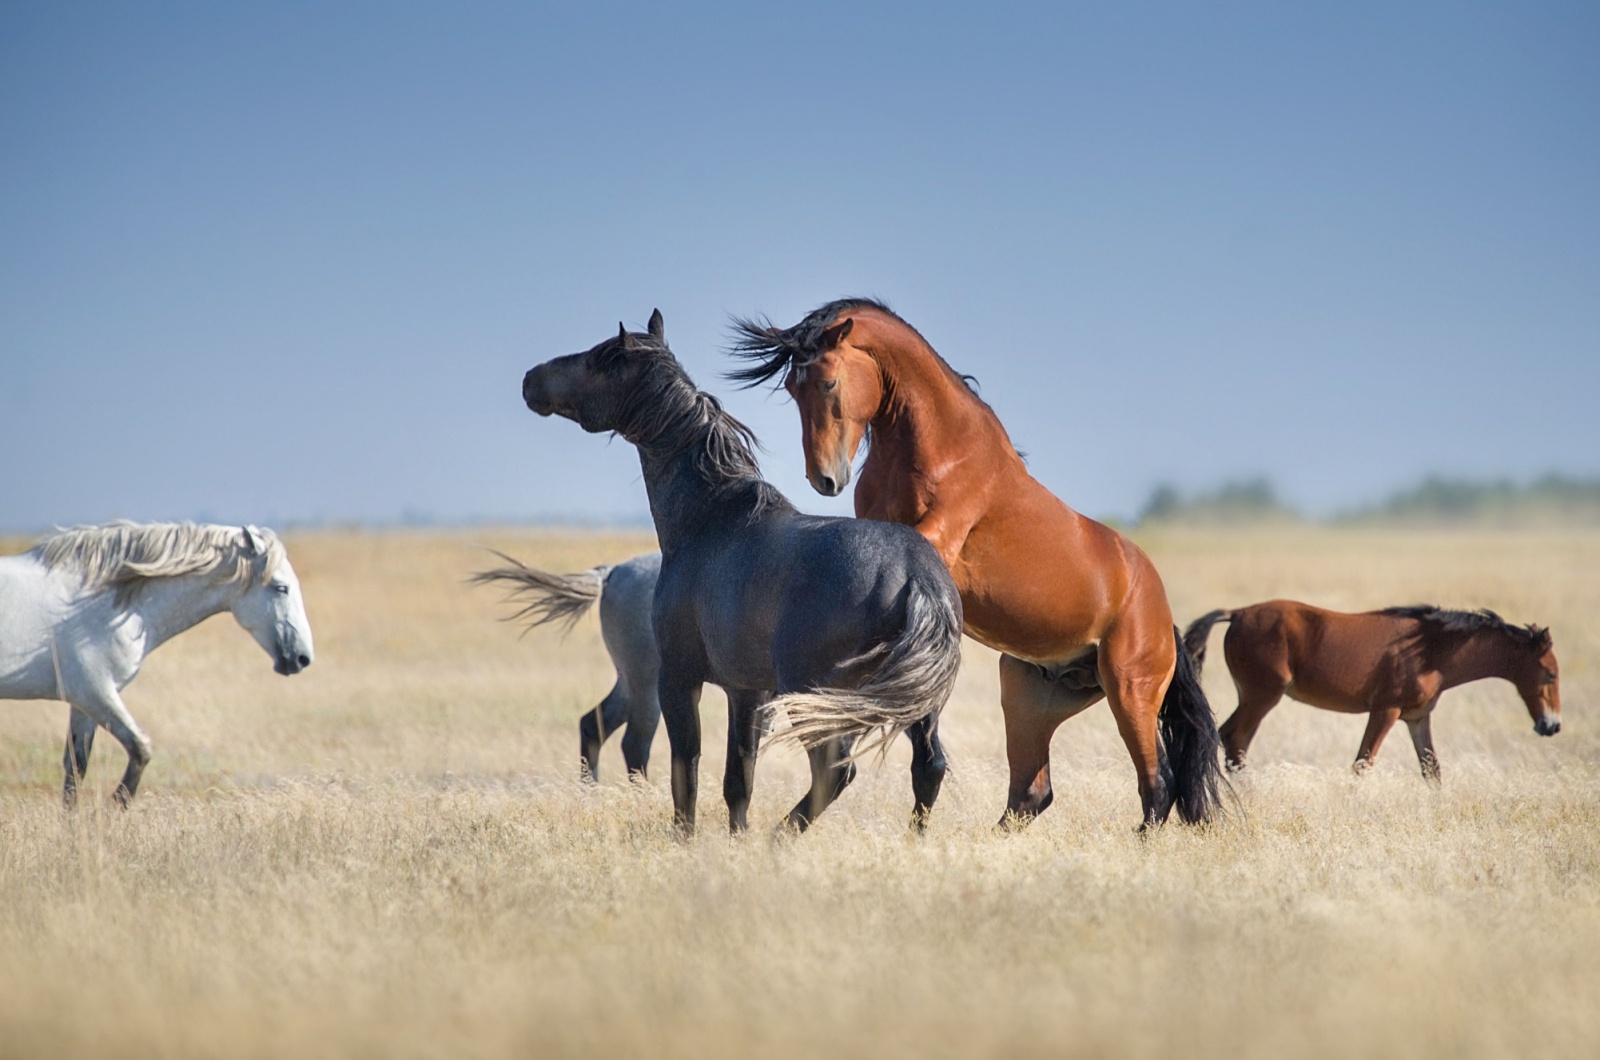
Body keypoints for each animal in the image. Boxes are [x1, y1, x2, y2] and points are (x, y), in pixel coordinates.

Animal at [0, 521, 315, 807]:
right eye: (281, 587)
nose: (303, 658)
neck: (102, 603)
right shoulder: (95, 692)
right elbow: (141, 748)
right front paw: (116, 804)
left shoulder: (82, 702)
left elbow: (76, 769)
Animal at [467, 550, 662, 784]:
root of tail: (613, 571)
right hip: (646, 684)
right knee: (634, 743)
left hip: (629, 680)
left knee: (593, 725)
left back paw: (590, 789)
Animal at [521, 312, 960, 832]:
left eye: (598, 359)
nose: (531, 379)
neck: (712, 518)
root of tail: (918, 579)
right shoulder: (747, 692)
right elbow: (739, 780)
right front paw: (737, 839)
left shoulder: (679, 677)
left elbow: (685, 769)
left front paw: (687, 838)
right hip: (913, 705)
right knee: (928, 767)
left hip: (812, 697)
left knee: (835, 771)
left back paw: (780, 837)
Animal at [736, 299, 1222, 832]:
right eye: (791, 388)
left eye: (827, 382)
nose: (824, 479)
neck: (937, 447)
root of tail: (1162, 616)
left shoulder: (938, 538)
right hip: (1029, 697)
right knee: (1032, 793)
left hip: (1130, 690)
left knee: (1157, 786)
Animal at [1184, 602, 1555, 784]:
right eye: (1550, 673)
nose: (1552, 725)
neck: (1431, 649)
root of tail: (1238, 614)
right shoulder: (1386, 711)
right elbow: (1362, 764)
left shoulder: (1416, 717)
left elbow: (1432, 770)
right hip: (1262, 696)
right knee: (1233, 738)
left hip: (1256, 698)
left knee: (1235, 743)